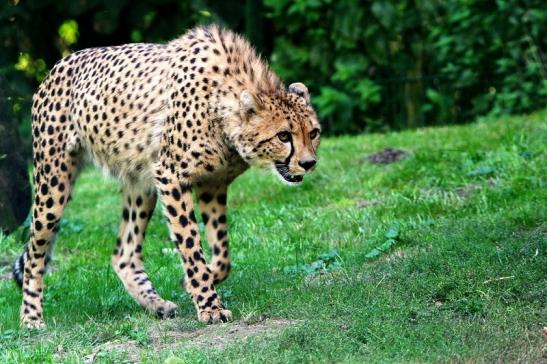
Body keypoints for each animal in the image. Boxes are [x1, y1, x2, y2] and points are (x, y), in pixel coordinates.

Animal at [11, 24, 322, 328]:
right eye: (283, 136)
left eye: (314, 133)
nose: (308, 163)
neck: (222, 108)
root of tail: (59, 64)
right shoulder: (171, 176)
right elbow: (190, 244)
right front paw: (209, 306)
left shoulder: (212, 183)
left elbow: (222, 251)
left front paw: (196, 281)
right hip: (54, 183)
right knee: (36, 249)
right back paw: (31, 317)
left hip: (142, 182)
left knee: (124, 254)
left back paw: (156, 304)